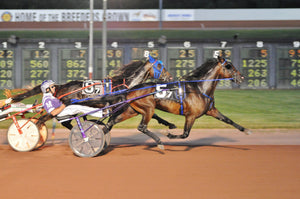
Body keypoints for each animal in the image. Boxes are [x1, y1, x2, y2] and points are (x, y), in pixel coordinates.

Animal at [0, 56, 176, 130]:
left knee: (64, 123)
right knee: (44, 119)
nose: (170, 77)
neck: (124, 84)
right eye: (160, 66)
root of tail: (60, 86)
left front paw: (170, 124)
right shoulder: (120, 106)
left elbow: (153, 114)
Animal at [75, 56, 251, 149]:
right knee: (141, 127)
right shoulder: (191, 116)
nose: (241, 77)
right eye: (228, 66)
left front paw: (246, 130)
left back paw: (97, 140)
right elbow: (185, 134)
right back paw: (159, 142)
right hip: (148, 108)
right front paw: (169, 134)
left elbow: (228, 120)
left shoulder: (211, 110)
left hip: (132, 110)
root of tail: (131, 89)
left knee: (110, 123)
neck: (199, 87)